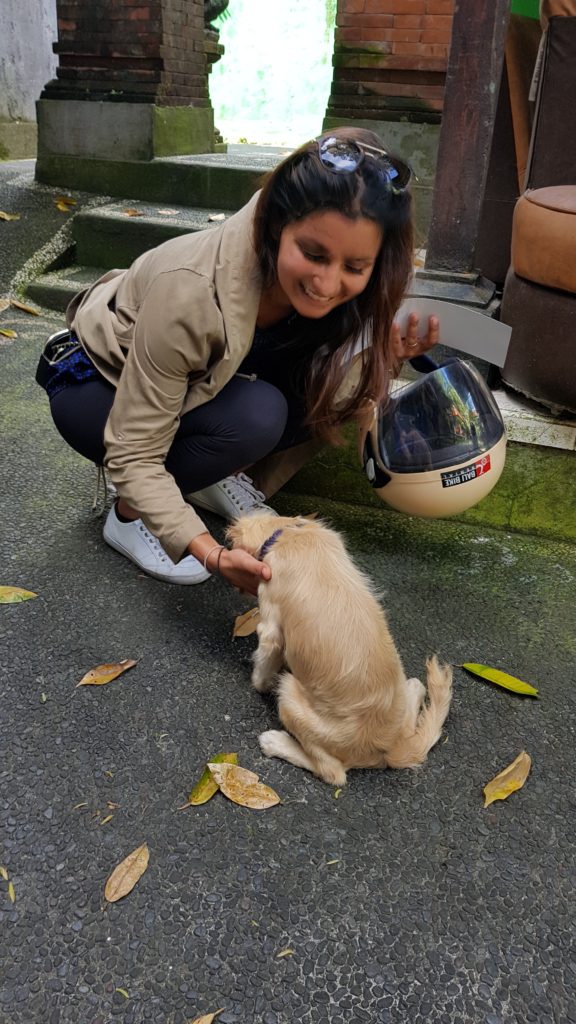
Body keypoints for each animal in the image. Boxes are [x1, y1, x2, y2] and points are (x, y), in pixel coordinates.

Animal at [225, 516, 453, 786]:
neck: (290, 532)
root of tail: (389, 748)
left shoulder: (270, 628)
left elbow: (264, 662)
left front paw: (259, 683)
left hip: (290, 694)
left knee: (332, 772)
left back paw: (276, 742)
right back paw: (415, 690)